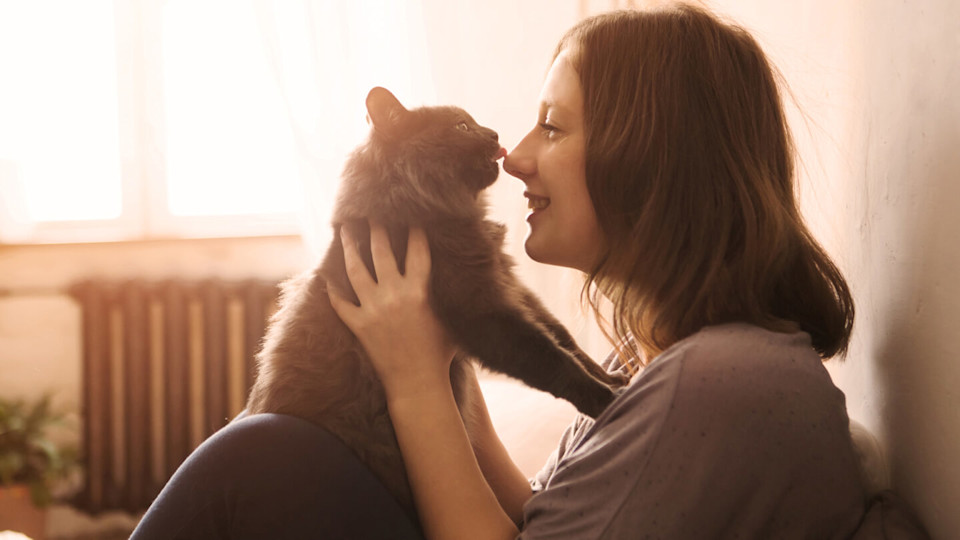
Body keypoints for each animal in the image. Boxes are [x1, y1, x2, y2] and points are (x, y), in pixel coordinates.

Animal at [244, 87, 628, 524]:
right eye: (461, 127)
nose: (495, 135)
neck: (430, 215)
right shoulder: (482, 309)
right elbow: (551, 358)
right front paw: (605, 400)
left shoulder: (510, 286)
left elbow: (564, 340)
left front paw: (612, 376)